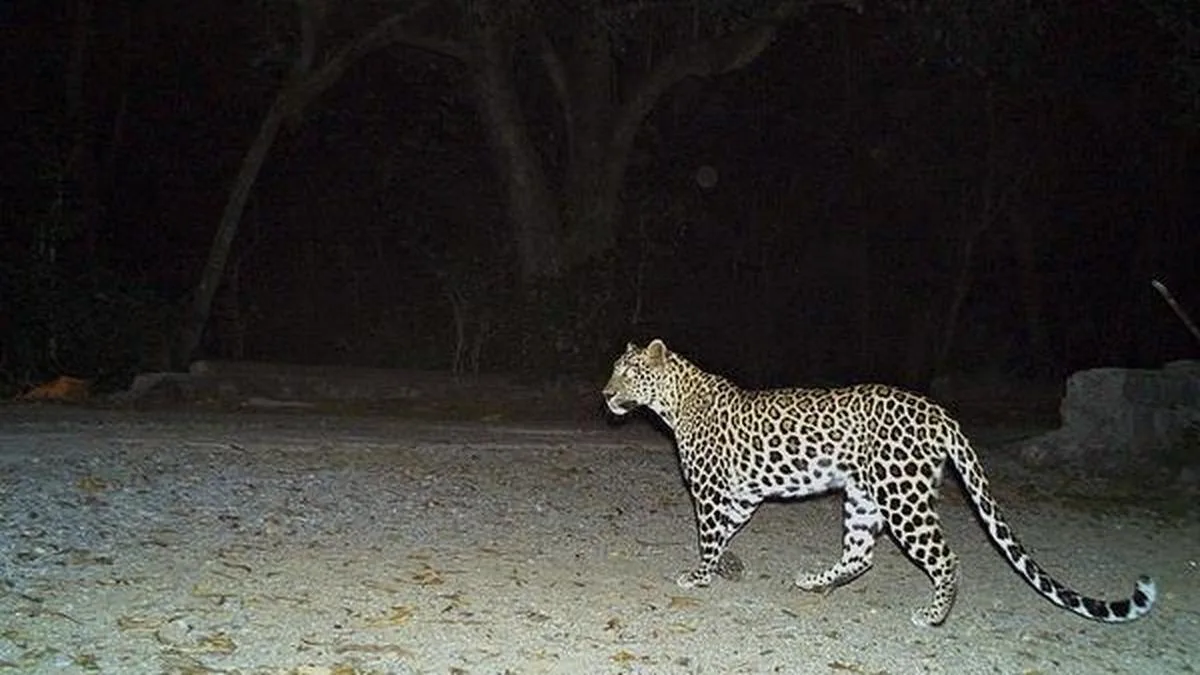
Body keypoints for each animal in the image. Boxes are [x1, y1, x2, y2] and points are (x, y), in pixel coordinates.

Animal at [602, 339, 1157, 626]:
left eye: (628, 374)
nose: (605, 394)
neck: (674, 402)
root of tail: (938, 411)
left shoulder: (711, 492)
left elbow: (708, 535)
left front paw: (699, 576)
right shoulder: (742, 496)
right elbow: (726, 534)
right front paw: (723, 568)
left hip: (901, 498)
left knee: (945, 557)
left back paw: (932, 615)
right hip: (864, 496)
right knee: (861, 554)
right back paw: (815, 582)